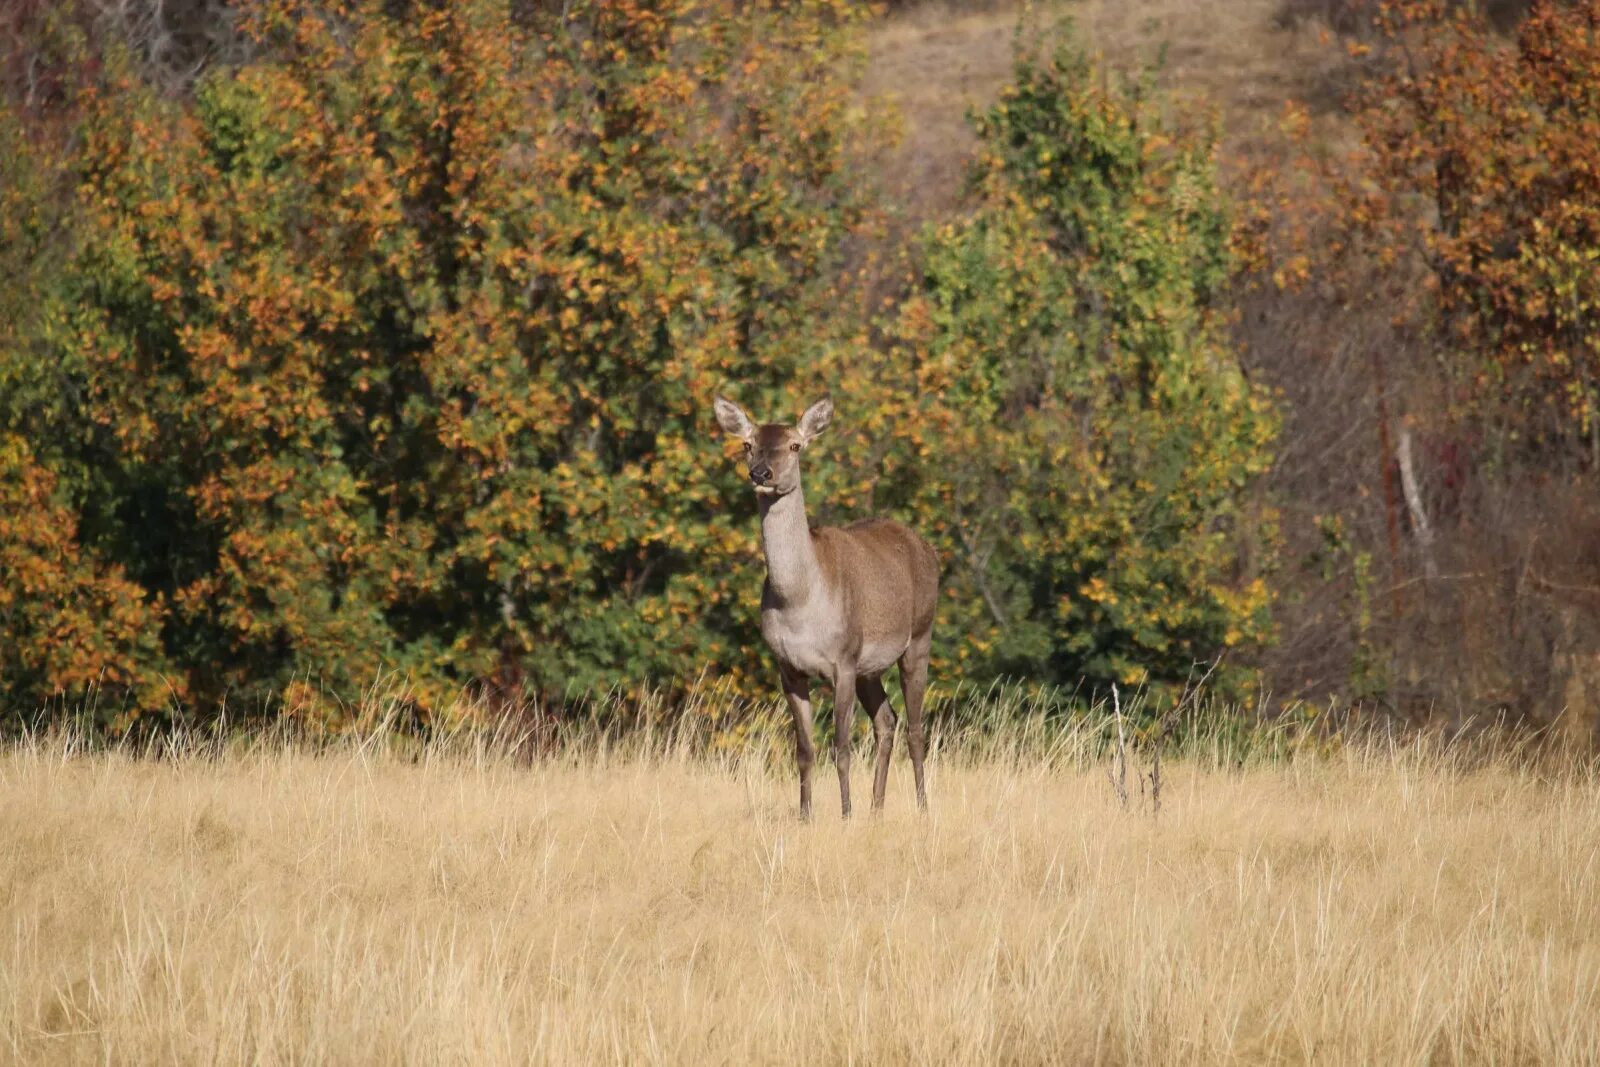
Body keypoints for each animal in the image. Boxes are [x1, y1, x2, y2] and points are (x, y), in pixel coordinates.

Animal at [713, 391, 934, 819]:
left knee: (916, 730)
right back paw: (877, 809)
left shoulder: (842, 660)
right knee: (887, 720)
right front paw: (806, 815)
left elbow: (841, 748)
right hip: (870, 667)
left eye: (795, 445)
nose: (761, 473)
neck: (799, 604)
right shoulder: (789, 668)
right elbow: (804, 751)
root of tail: (926, 546)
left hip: (919, 635)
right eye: (747, 444)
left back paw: (921, 808)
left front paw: (845, 814)